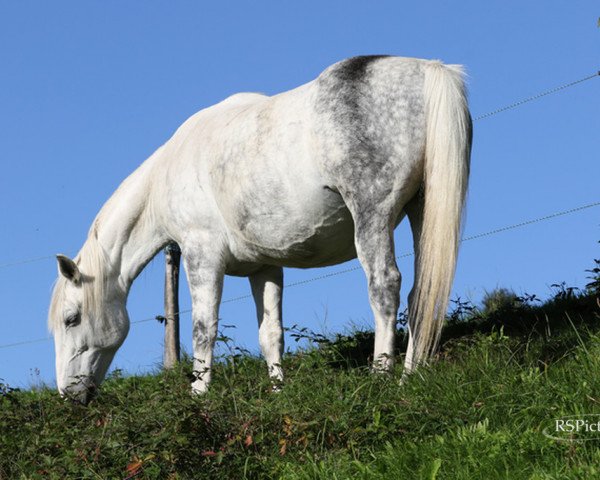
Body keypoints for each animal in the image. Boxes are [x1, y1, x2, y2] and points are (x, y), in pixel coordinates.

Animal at [49, 54, 472, 404]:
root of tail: (426, 70)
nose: (69, 396)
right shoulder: (264, 267)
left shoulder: (202, 258)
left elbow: (203, 329)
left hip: (372, 218)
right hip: (421, 209)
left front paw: (198, 395)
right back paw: (411, 375)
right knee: (421, 291)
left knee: (384, 286)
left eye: (72, 318)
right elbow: (271, 334)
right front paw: (278, 391)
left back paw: (383, 375)